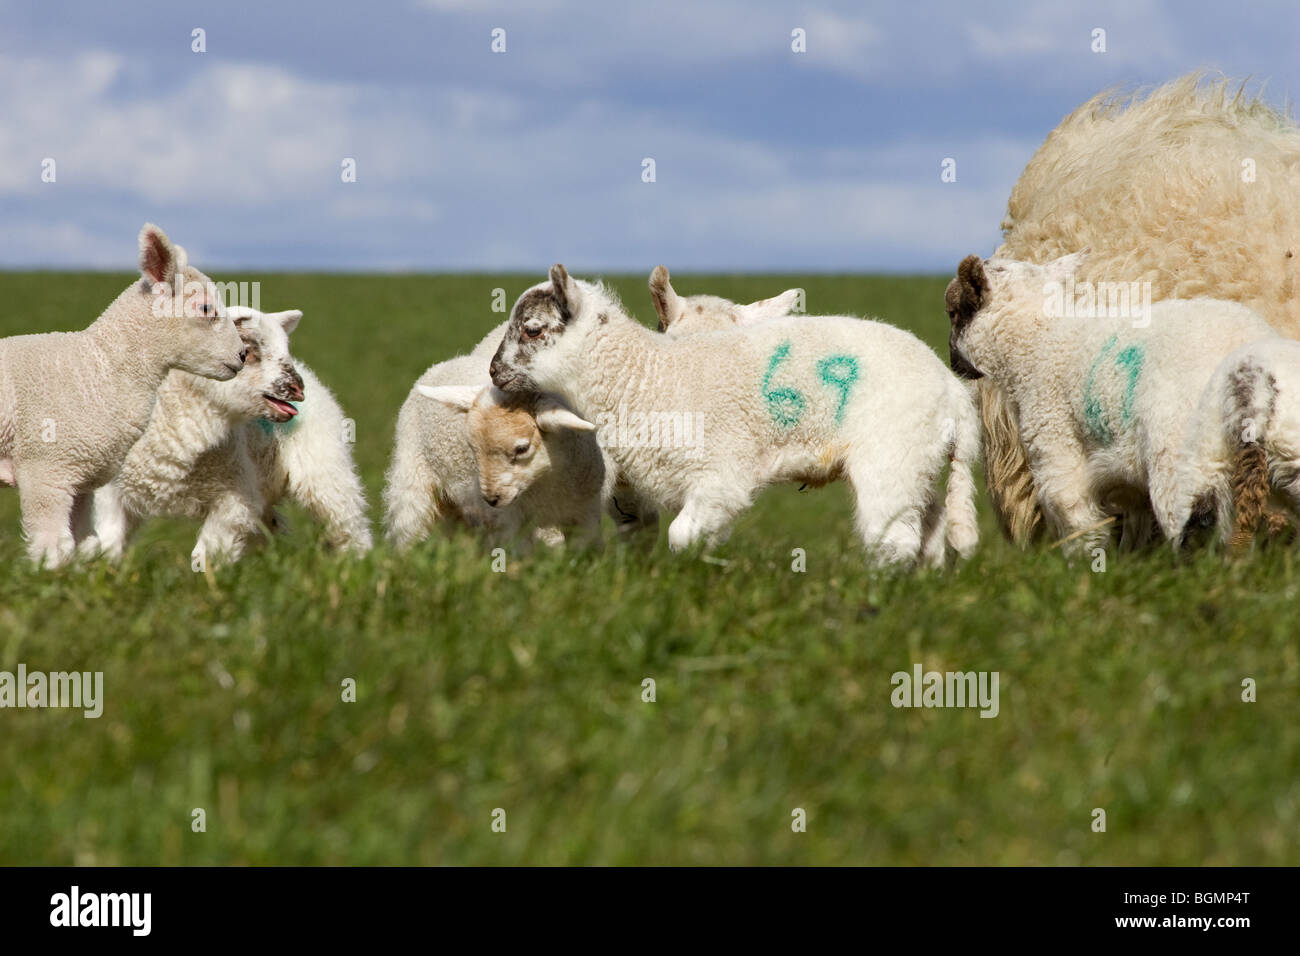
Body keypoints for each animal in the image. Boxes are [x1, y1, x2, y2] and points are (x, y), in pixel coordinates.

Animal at [0, 223, 245, 567]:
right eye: (207, 308)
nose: (243, 355)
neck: (102, 368)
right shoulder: (45, 470)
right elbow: (53, 546)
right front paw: (47, 576)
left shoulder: (82, 480)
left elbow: (84, 544)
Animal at [90, 303, 377, 564]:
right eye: (246, 352)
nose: (297, 389)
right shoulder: (111, 493)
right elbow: (108, 543)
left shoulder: (234, 498)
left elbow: (207, 557)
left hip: (324, 470)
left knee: (346, 525)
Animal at [488, 264, 977, 567]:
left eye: (532, 329)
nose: (493, 371)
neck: (647, 375)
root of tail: (953, 392)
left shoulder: (721, 476)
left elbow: (681, 536)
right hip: (917, 463)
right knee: (930, 531)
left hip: (891, 457)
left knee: (894, 539)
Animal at [946, 251, 1279, 556]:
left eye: (952, 312)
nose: (953, 364)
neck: (1038, 339)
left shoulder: (1058, 449)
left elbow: (1077, 520)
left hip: (1181, 448)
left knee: (1196, 519)